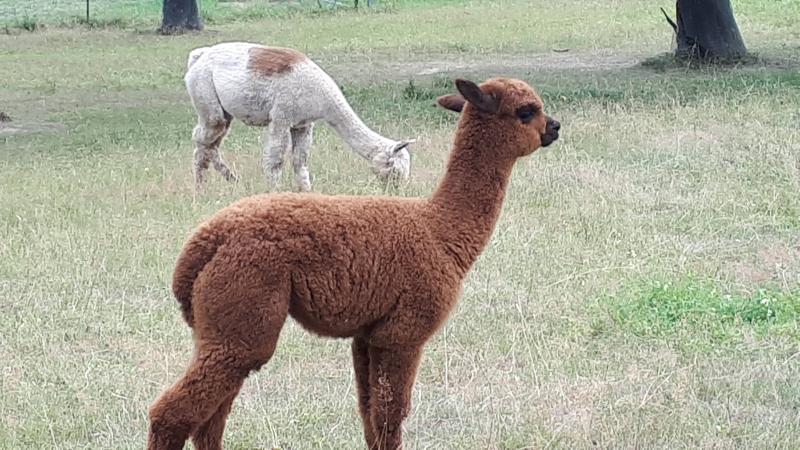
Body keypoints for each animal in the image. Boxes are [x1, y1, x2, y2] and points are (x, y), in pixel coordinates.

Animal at [148, 76, 561, 450]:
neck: (439, 230)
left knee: (210, 419)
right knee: (173, 413)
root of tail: (203, 242)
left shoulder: (367, 335)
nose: (555, 127)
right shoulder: (402, 332)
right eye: (527, 111)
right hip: (243, 310)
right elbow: (391, 415)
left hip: (219, 327)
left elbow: (369, 415)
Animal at [184, 42, 414, 191]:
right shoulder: (281, 116)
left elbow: (299, 162)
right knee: (202, 140)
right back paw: (200, 189)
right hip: (206, 94)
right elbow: (275, 160)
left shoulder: (303, 124)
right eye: (394, 169)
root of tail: (198, 56)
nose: (397, 190)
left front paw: (306, 193)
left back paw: (230, 179)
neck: (322, 97)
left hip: (225, 112)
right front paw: (274, 193)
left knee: (210, 145)